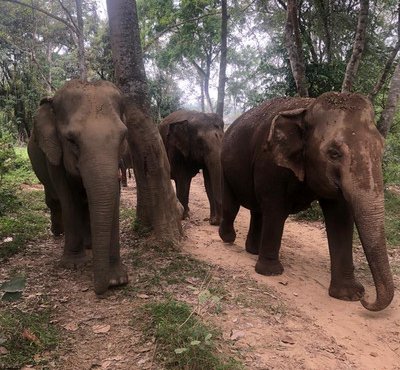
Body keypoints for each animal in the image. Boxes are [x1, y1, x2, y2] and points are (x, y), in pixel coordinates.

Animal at [28, 80, 128, 294]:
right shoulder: (53, 154)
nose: (102, 289)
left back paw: (89, 244)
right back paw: (58, 233)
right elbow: (68, 198)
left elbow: (111, 198)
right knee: (54, 199)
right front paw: (73, 264)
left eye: (123, 136)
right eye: (71, 140)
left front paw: (117, 278)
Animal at [220, 91, 396, 310]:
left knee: (257, 211)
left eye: (381, 149)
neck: (307, 108)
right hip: (224, 163)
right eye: (334, 153)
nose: (366, 298)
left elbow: (340, 218)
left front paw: (349, 295)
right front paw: (270, 272)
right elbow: (275, 207)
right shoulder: (269, 161)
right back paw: (229, 238)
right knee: (232, 205)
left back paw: (252, 250)